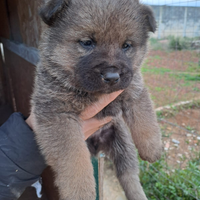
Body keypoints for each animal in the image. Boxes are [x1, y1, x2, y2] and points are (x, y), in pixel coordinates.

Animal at [31, 0, 162, 199]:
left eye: (126, 45)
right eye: (87, 43)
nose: (112, 76)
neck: (91, 93)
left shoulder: (134, 90)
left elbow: (145, 119)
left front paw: (152, 148)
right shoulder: (58, 115)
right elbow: (74, 160)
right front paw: (79, 192)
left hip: (122, 143)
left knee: (128, 174)